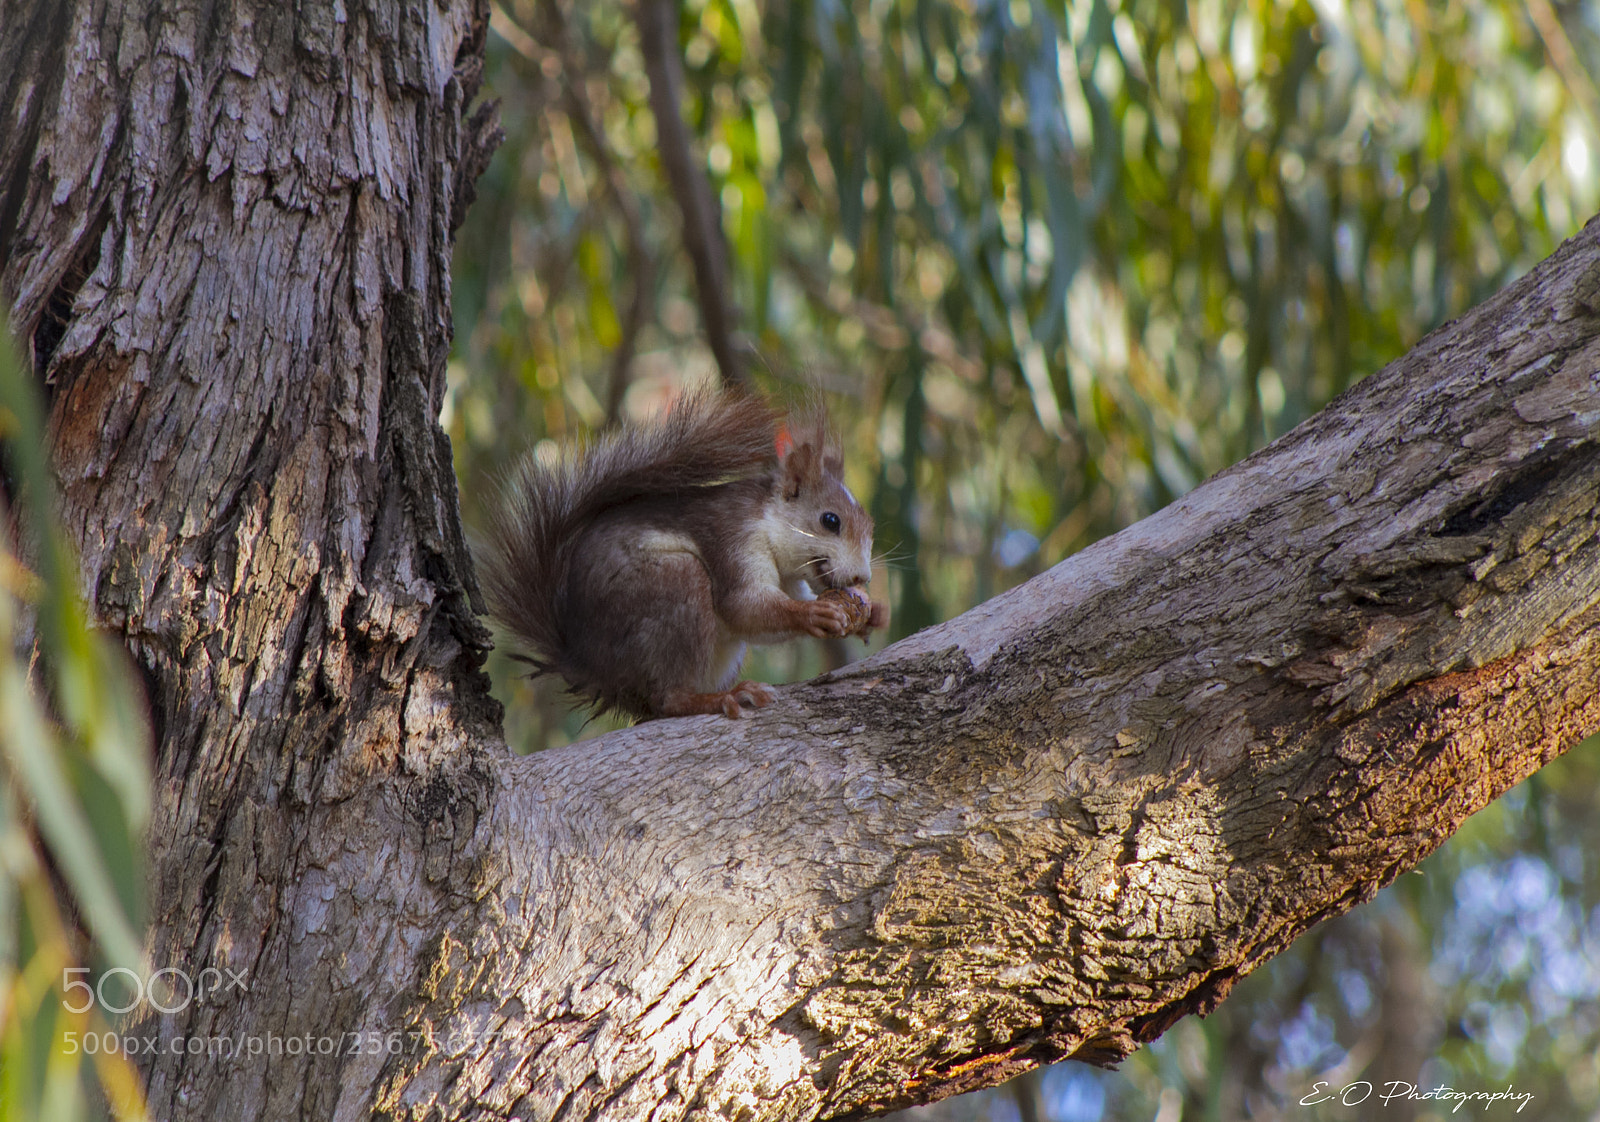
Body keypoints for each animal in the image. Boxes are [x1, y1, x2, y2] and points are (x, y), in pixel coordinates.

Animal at [479, 389, 887, 720]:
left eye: (871, 524)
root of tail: (588, 664)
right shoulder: (732, 539)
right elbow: (744, 608)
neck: (768, 524)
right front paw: (816, 613)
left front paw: (872, 615)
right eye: (830, 520)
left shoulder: (789, 580)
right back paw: (722, 698)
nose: (862, 578)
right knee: (668, 701)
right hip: (672, 586)